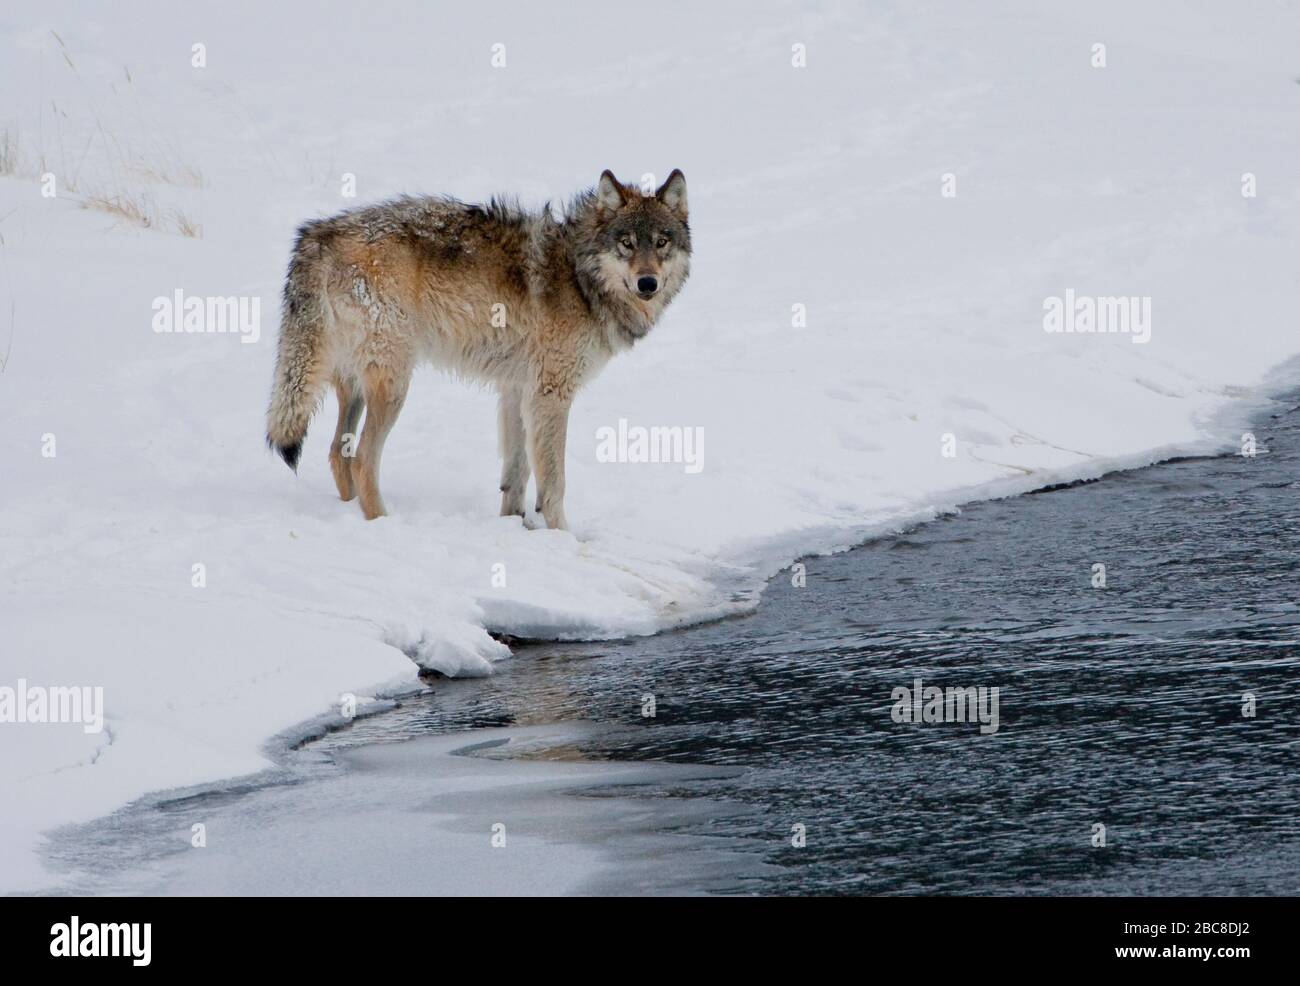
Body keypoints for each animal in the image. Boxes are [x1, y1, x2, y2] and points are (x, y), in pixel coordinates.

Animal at [263, 167, 691, 533]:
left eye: (662, 243)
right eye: (627, 244)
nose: (648, 283)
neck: (579, 276)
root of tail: (319, 234)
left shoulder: (517, 390)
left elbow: (516, 475)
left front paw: (516, 526)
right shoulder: (550, 394)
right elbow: (553, 482)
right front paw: (563, 538)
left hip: (354, 383)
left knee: (339, 454)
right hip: (393, 385)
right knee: (363, 459)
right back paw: (382, 523)